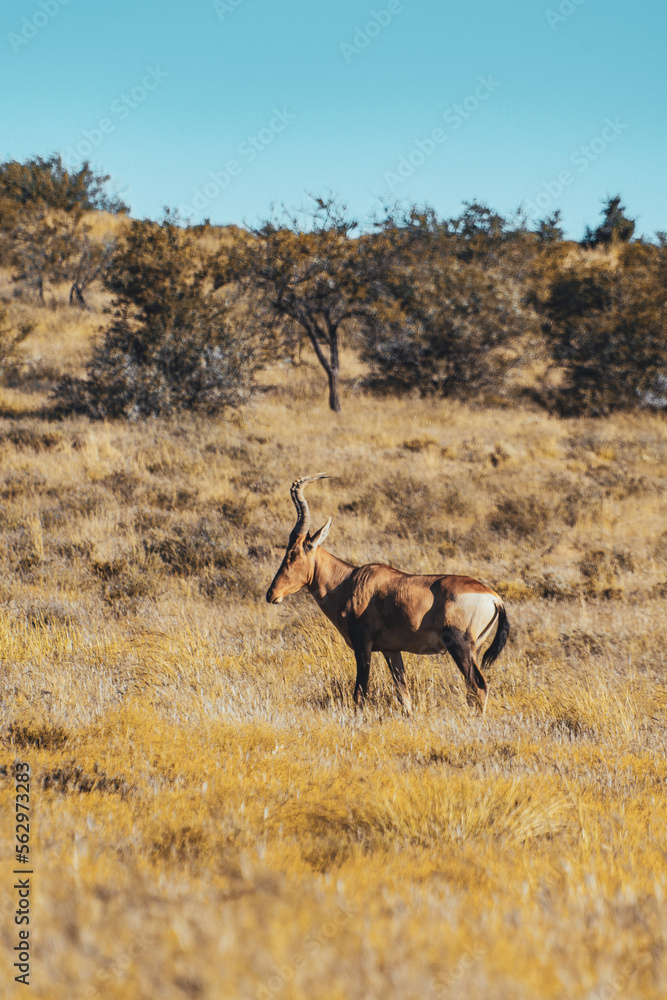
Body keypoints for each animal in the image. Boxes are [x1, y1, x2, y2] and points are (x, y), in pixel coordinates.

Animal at [266, 475, 509, 715]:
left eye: (293, 553)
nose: (271, 594)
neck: (350, 580)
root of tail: (493, 597)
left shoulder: (363, 645)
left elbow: (360, 694)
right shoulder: (391, 650)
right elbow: (404, 695)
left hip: (460, 646)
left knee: (478, 686)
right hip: (474, 650)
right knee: (471, 690)